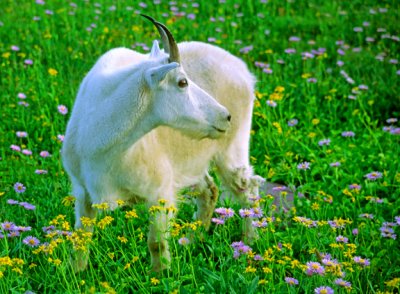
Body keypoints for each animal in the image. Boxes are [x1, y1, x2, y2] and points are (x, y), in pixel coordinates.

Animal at [61, 14, 262, 272]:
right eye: (182, 82)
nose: (226, 116)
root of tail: (244, 71)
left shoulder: (160, 191)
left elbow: (155, 242)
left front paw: (162, 274)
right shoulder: (83, 191)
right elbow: (81, 237)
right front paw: (75, 272)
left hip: (232, 148)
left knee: (248, 187)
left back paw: (249, 242)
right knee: (210, 189)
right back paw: (191, 241)